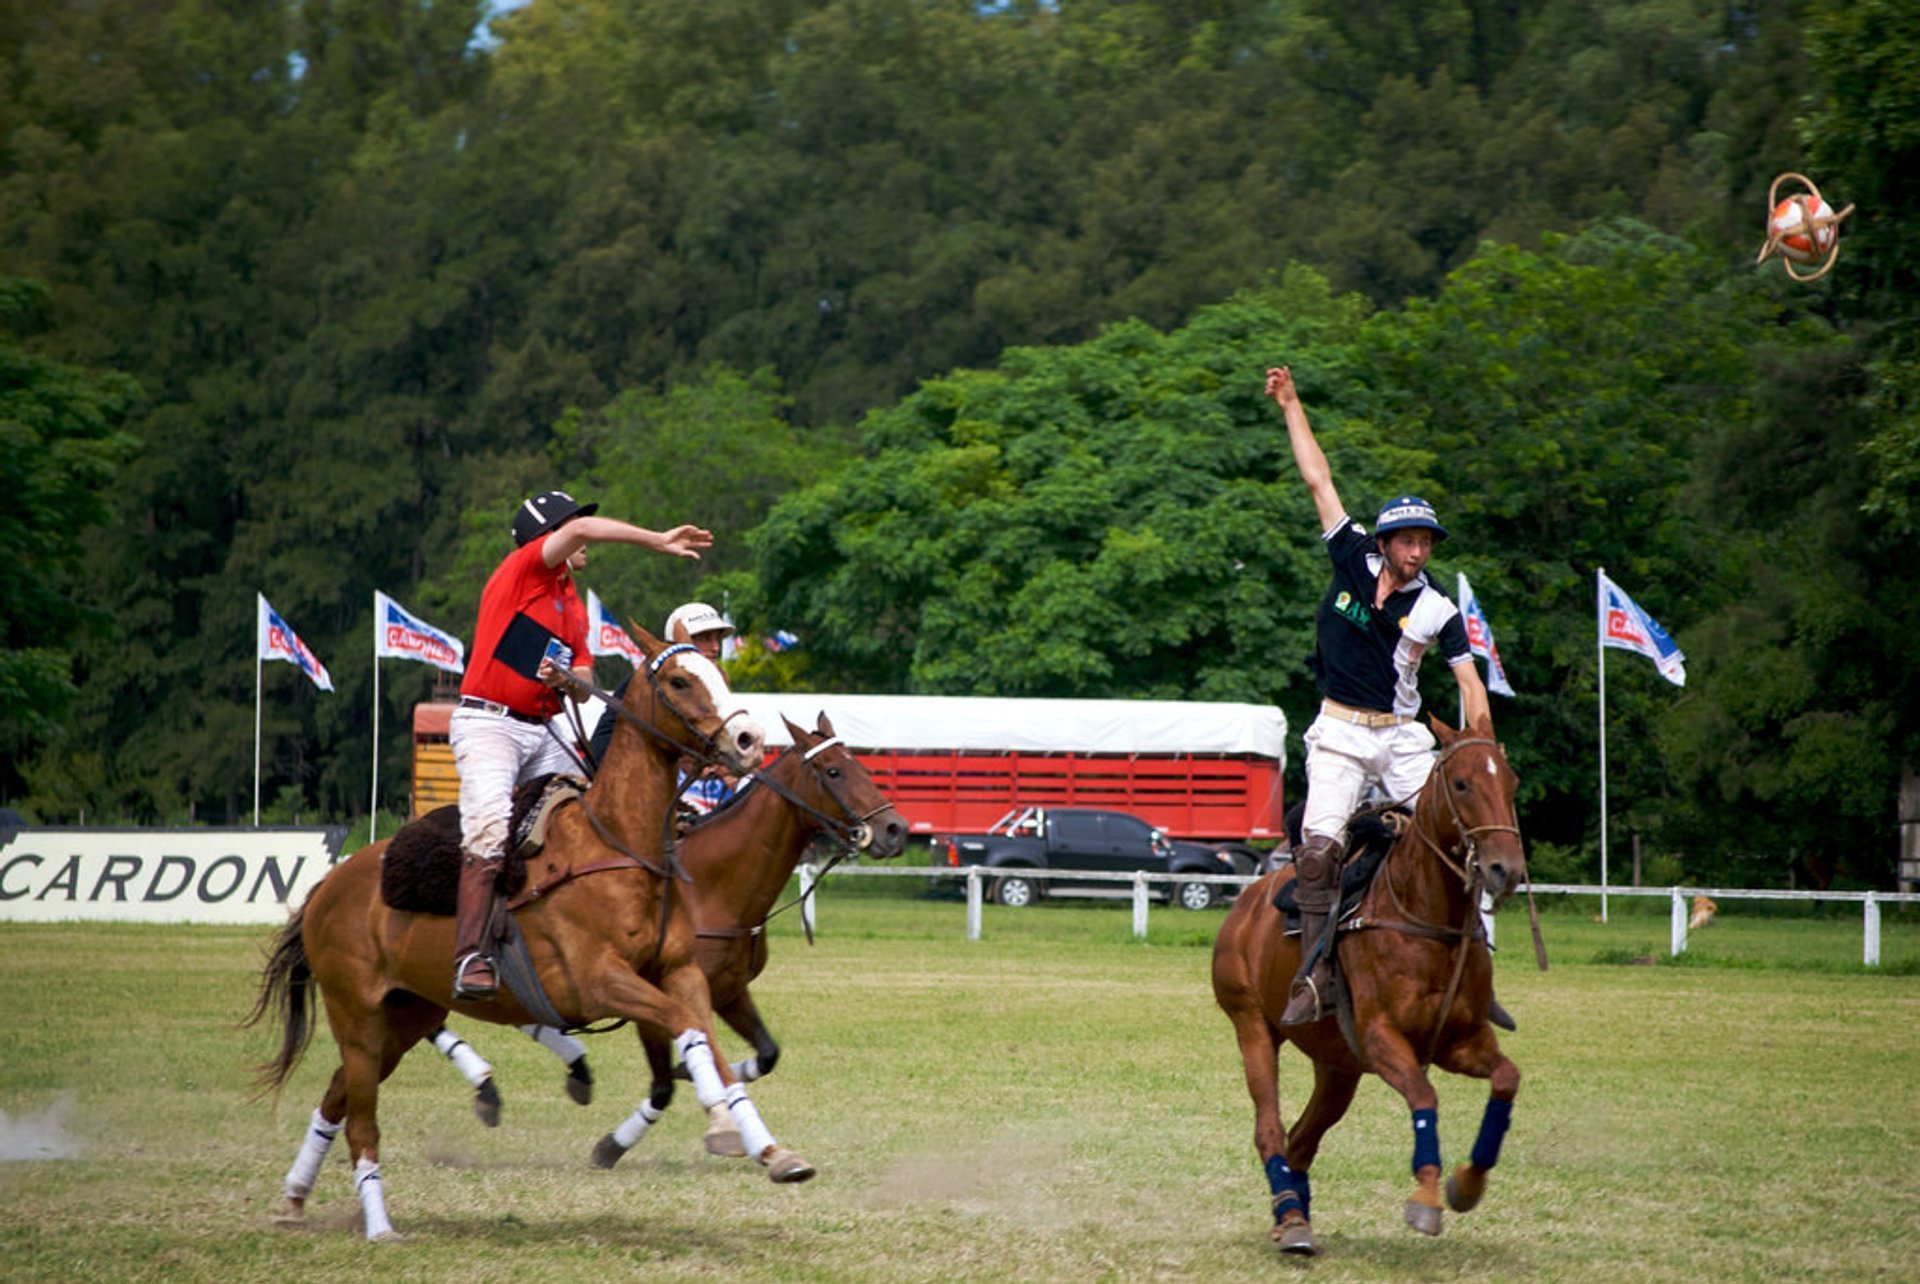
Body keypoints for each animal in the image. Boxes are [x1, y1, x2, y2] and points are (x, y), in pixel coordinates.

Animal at [243, 633, 806, 1243]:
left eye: (719, 672)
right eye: (680, 681)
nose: (749, 742)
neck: (621, 845)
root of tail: (327, 885)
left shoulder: (681, 972)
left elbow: (711, 1046)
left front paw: (771, 1151)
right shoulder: (597, 982)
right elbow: (685, 1029)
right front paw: (722, 1126)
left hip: (407, 1013)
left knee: (335, 1098)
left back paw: (294, 1198)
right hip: (358, 1016)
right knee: (360, 1124)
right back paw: (379, 1226)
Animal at [587, 706, 910, 1166]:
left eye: (861, 766)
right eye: (833, 771)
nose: (895, 830)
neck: (708, 890)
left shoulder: (729, 991)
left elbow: (765, 1053)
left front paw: (694, 1077)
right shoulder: (651, 997)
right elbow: (664, 1086)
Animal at [1213, 717, 1528, 1259]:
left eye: (1511, 783)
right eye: (1461, 784)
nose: (1505, 870)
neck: (1427, 917)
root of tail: (1246, 900)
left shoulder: (1461, 1040)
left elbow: (1506, 1078)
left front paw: (1467, 1185)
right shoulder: (1382, 1038)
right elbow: (1424, 1096)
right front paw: (1426, 1200)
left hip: (1337, 1064)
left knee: (1302, 1139)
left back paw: (1293, 1218)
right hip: (1251, 1023)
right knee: (1270, 1129)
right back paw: (1291, 1219)